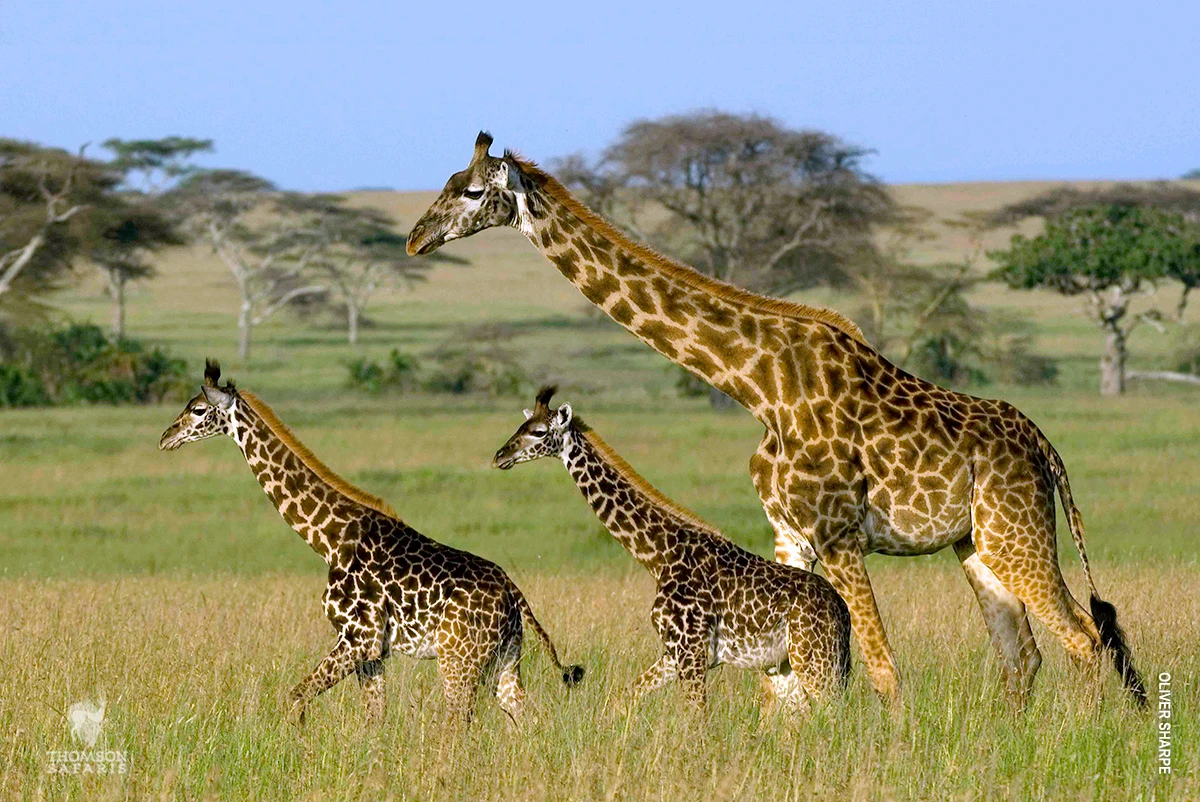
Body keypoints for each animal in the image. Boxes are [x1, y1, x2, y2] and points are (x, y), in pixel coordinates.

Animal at [158, 360, 583, 727]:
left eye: (198, 409)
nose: (166, 437)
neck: (329, 539)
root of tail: (514, 593)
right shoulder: (373, 653)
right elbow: (372, 719)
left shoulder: (357, 639)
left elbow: (296, 698)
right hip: (505, 659)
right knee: (525, 716)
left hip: (458, 659)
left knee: (459, 722)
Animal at [492, 386, 851, 713]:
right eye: (521, 425)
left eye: (538, 431)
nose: (499, 456)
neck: (659, 556)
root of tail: (841, 610)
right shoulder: (674, 652)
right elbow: (622, 698)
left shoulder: (692, 652)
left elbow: (696, 718)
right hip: (787, 664)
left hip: (815, 660)